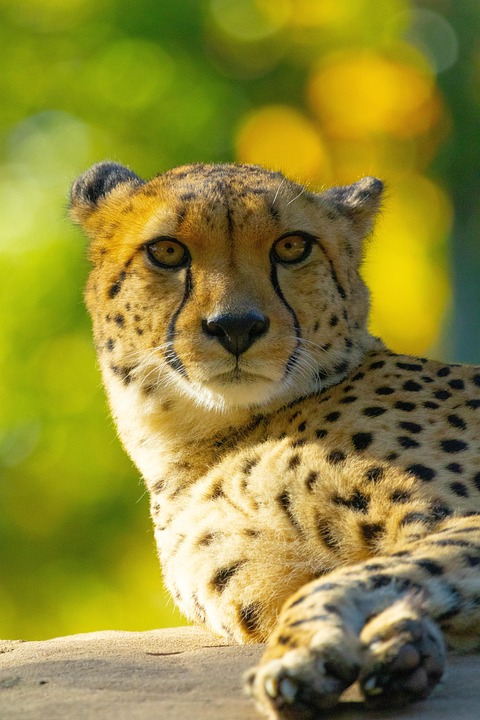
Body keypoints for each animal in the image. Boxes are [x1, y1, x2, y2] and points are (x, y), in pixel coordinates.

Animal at [70, 160, 480, 719]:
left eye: (292, 247)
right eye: (167, 252)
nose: (236, 326)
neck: (207, 441)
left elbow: (351, 578)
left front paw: (302, 654)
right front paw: (401, 646)